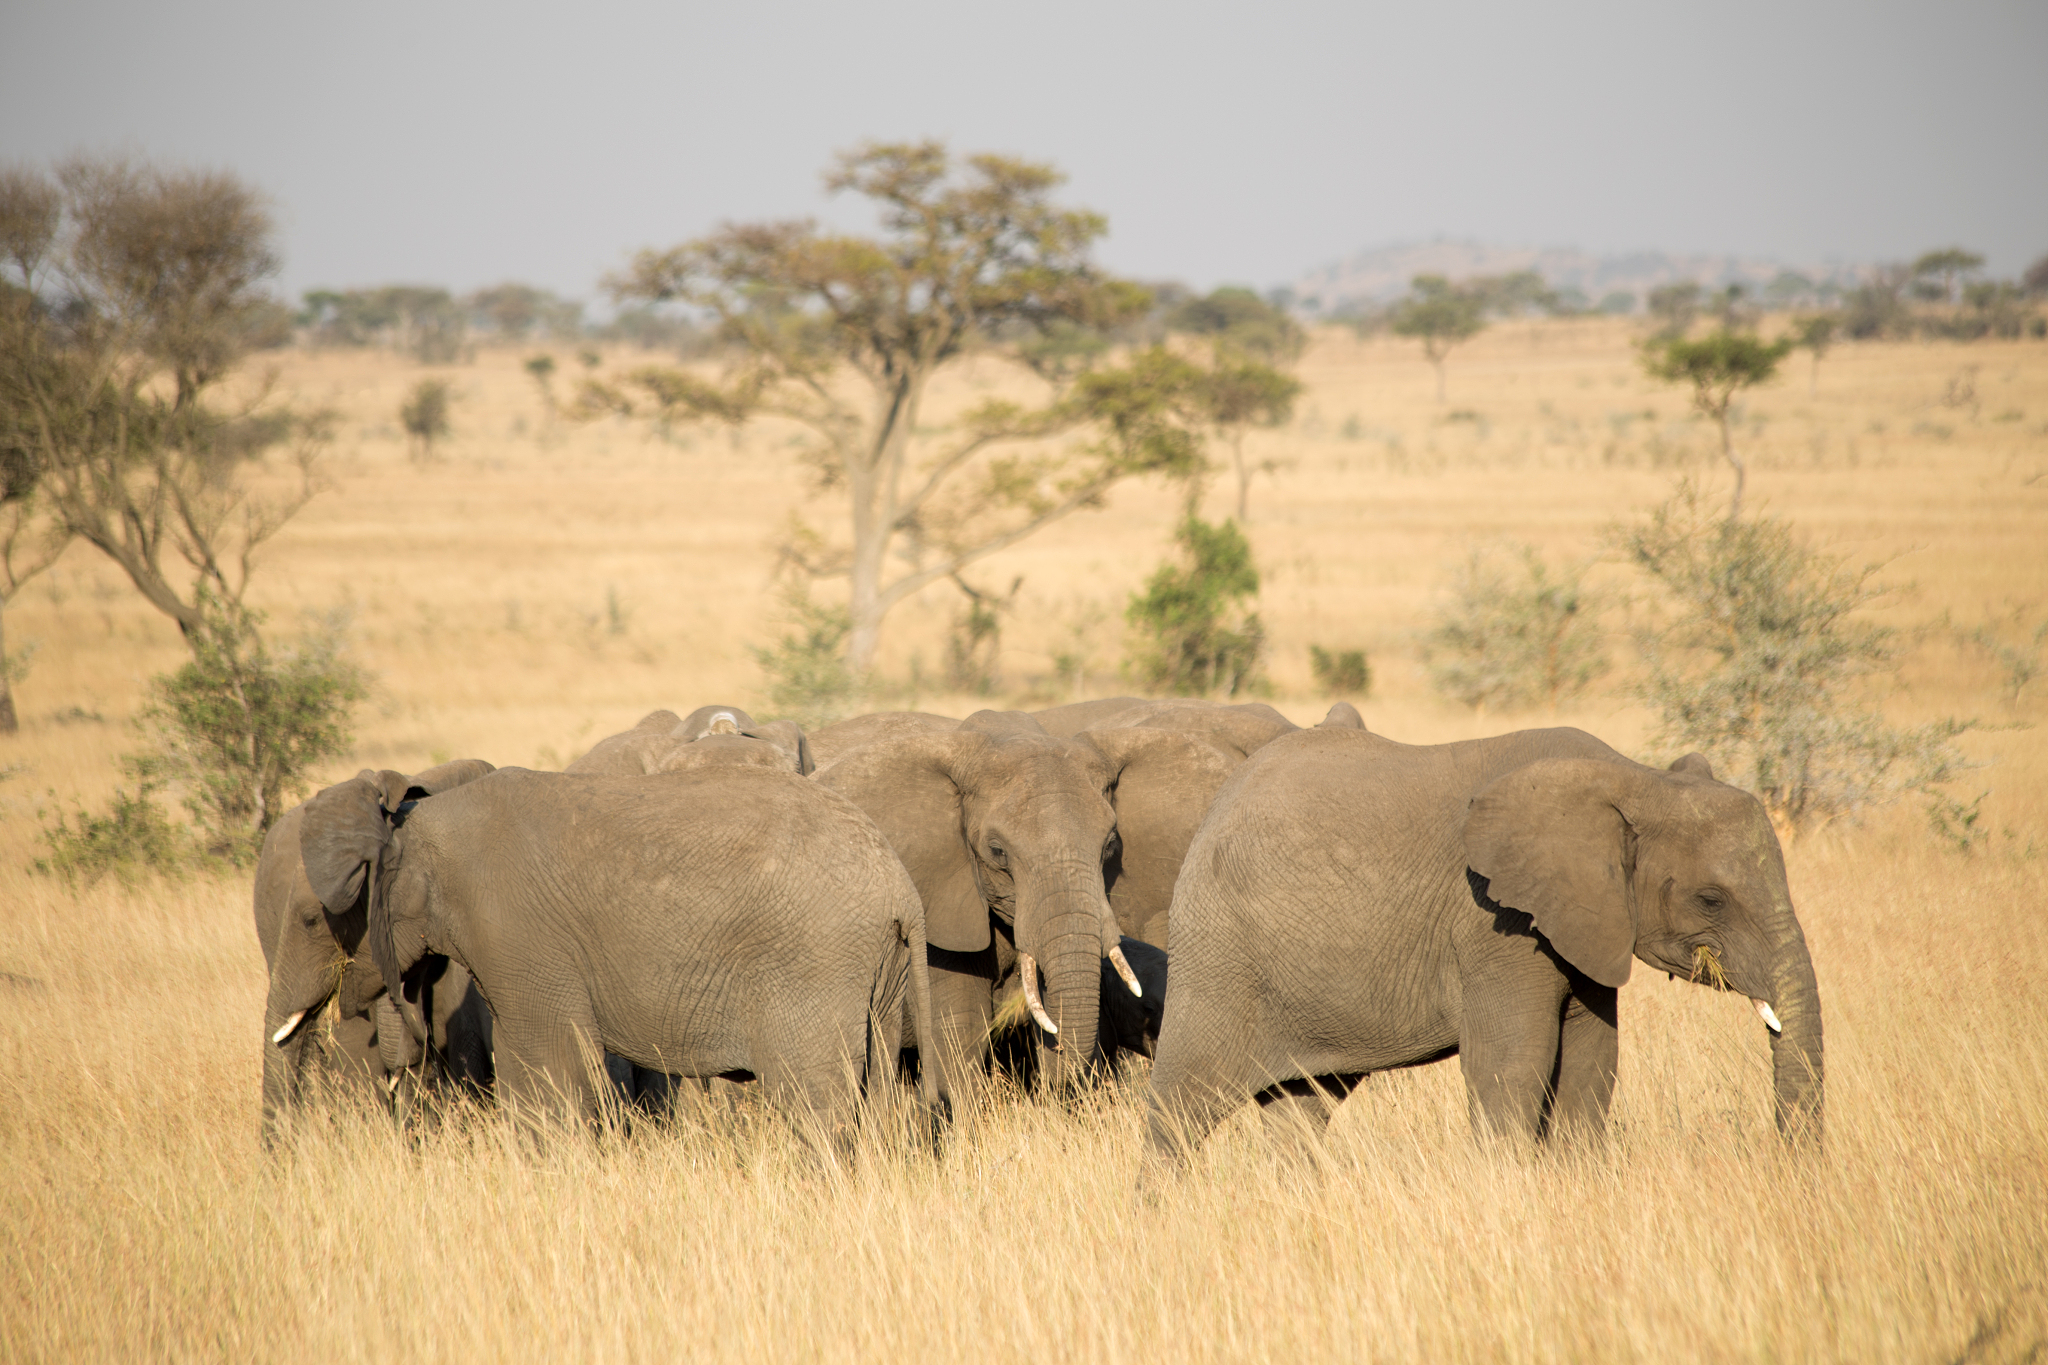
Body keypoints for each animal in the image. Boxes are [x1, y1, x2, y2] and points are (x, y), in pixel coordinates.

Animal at [297, 764, 938, 1143]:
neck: (424, 823)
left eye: (345, 912)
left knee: (814, 1101)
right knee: (873, 1091)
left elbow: (551, 1059)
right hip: (877, 968)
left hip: (813, 962)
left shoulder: (514, 932)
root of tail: (901, 888)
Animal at [1142, 726, 1824, 1177]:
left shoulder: (1584, 923)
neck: (1635, 777)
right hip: (1219, 953)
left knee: (1301, 1109)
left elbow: (1590, 1062)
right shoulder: (1496, 924)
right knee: (1183, 1103)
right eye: (1712, 900)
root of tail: (1218, 802)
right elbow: (1513, 1064)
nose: (1793, 1171)